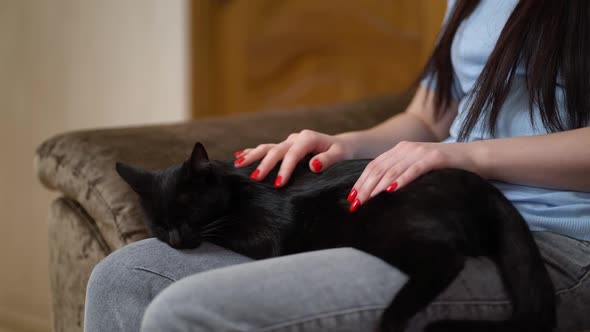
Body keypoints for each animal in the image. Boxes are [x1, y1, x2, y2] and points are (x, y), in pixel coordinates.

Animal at [117, 141, 560, 330]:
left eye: (190, 213)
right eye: (159, 225)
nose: (176, 239)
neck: (237, 188)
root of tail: (485, 189)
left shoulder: (266, 234)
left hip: (381, 231)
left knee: (444, 259)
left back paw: (391, 319)